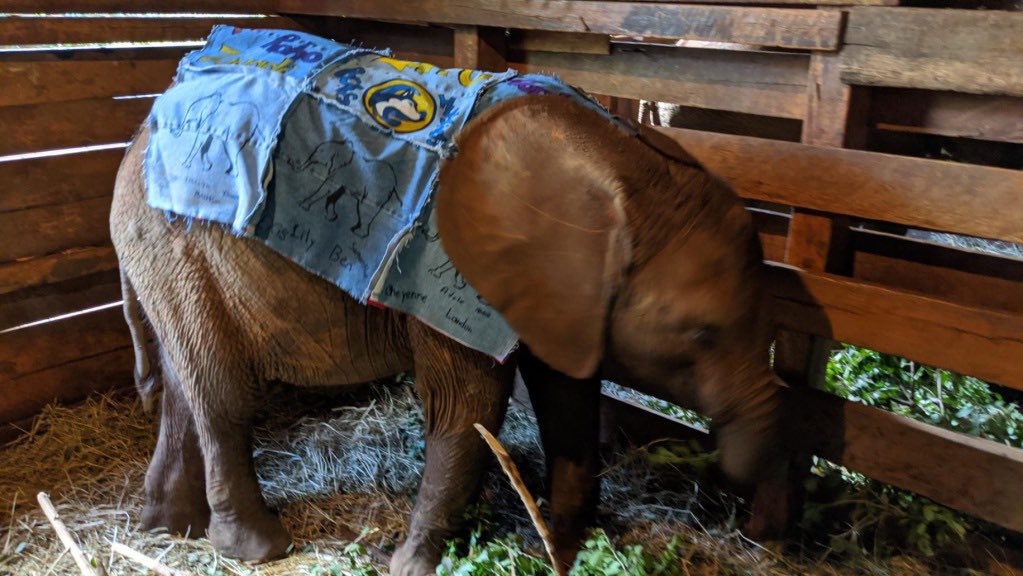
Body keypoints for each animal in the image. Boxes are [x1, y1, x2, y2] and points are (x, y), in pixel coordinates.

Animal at [111, 94, 784, 576]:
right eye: (702, 335)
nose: (753, 525)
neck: (626, 163)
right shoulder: (458, 278)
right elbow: (469, 405)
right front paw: (413, 567)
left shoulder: (560, 293)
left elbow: (567, 394)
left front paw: (564, 548)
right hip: (177, 244)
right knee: (221, 392)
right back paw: (256, 548)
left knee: (183, 383)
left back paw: (169, 527)